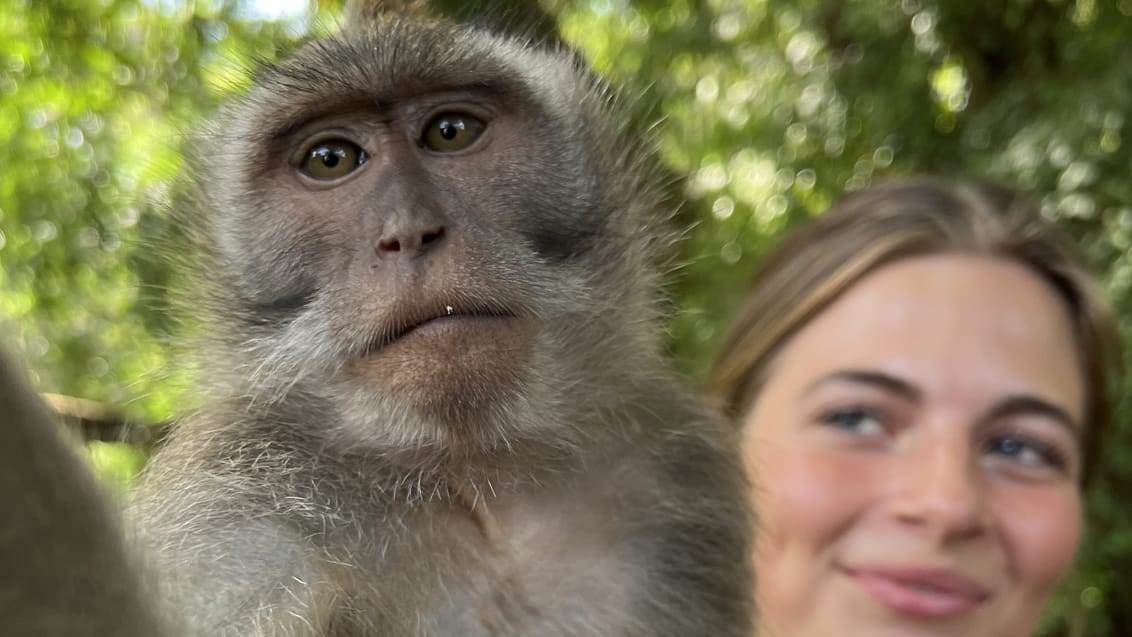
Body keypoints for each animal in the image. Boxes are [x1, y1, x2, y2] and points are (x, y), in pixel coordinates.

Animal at [130, 2, 751, 633]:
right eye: (329, 160)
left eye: (450, 132)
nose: (409, 231)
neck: (473, 476)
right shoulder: (232, 524)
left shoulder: (676, 472)